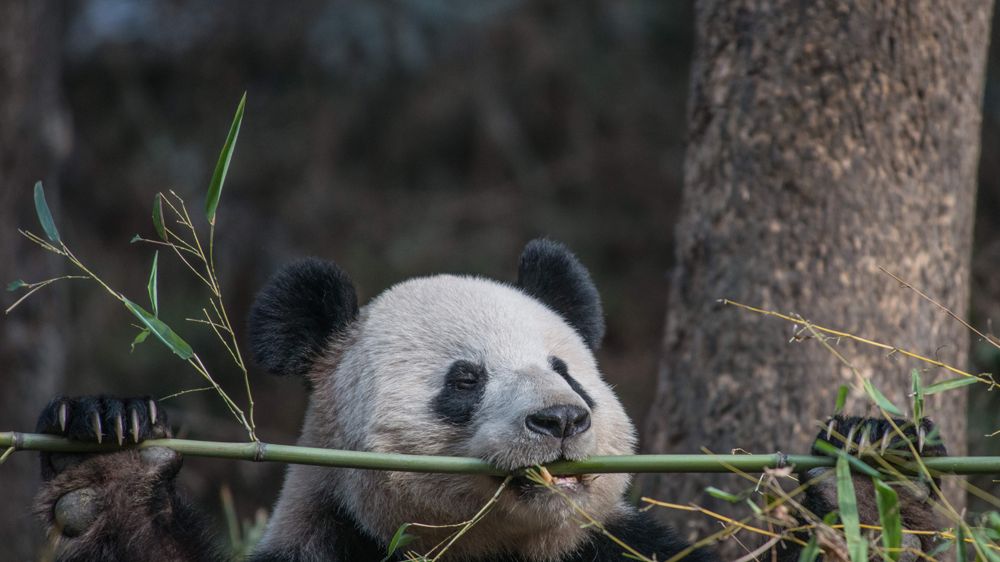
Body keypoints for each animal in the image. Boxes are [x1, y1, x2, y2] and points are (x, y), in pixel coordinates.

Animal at [34, 239, 944, 561]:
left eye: (568, 371)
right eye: (464, 379)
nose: (562, 420)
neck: (496, 550)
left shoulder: (618, 552)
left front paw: (875, 476)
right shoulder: (334, 546)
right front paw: (109, 457)